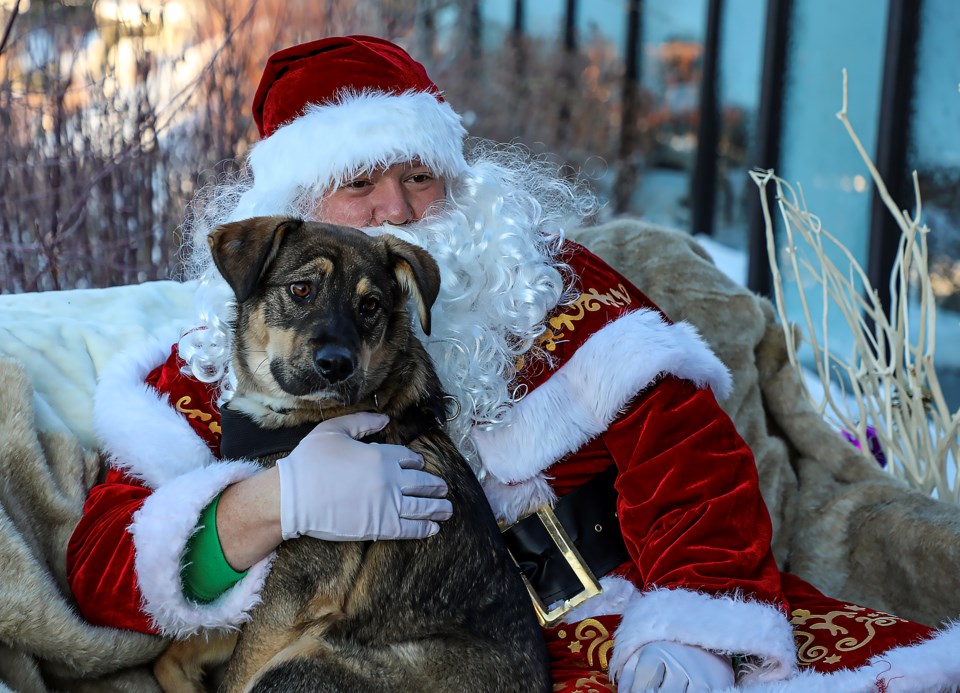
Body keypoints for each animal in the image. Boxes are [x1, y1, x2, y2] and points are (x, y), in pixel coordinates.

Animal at [154, 218, 552, 692]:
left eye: (370, 305)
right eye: (302, 289)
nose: (336, 364)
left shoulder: (291, 597)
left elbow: (236, 676)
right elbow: (177, 654)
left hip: (307, 657)